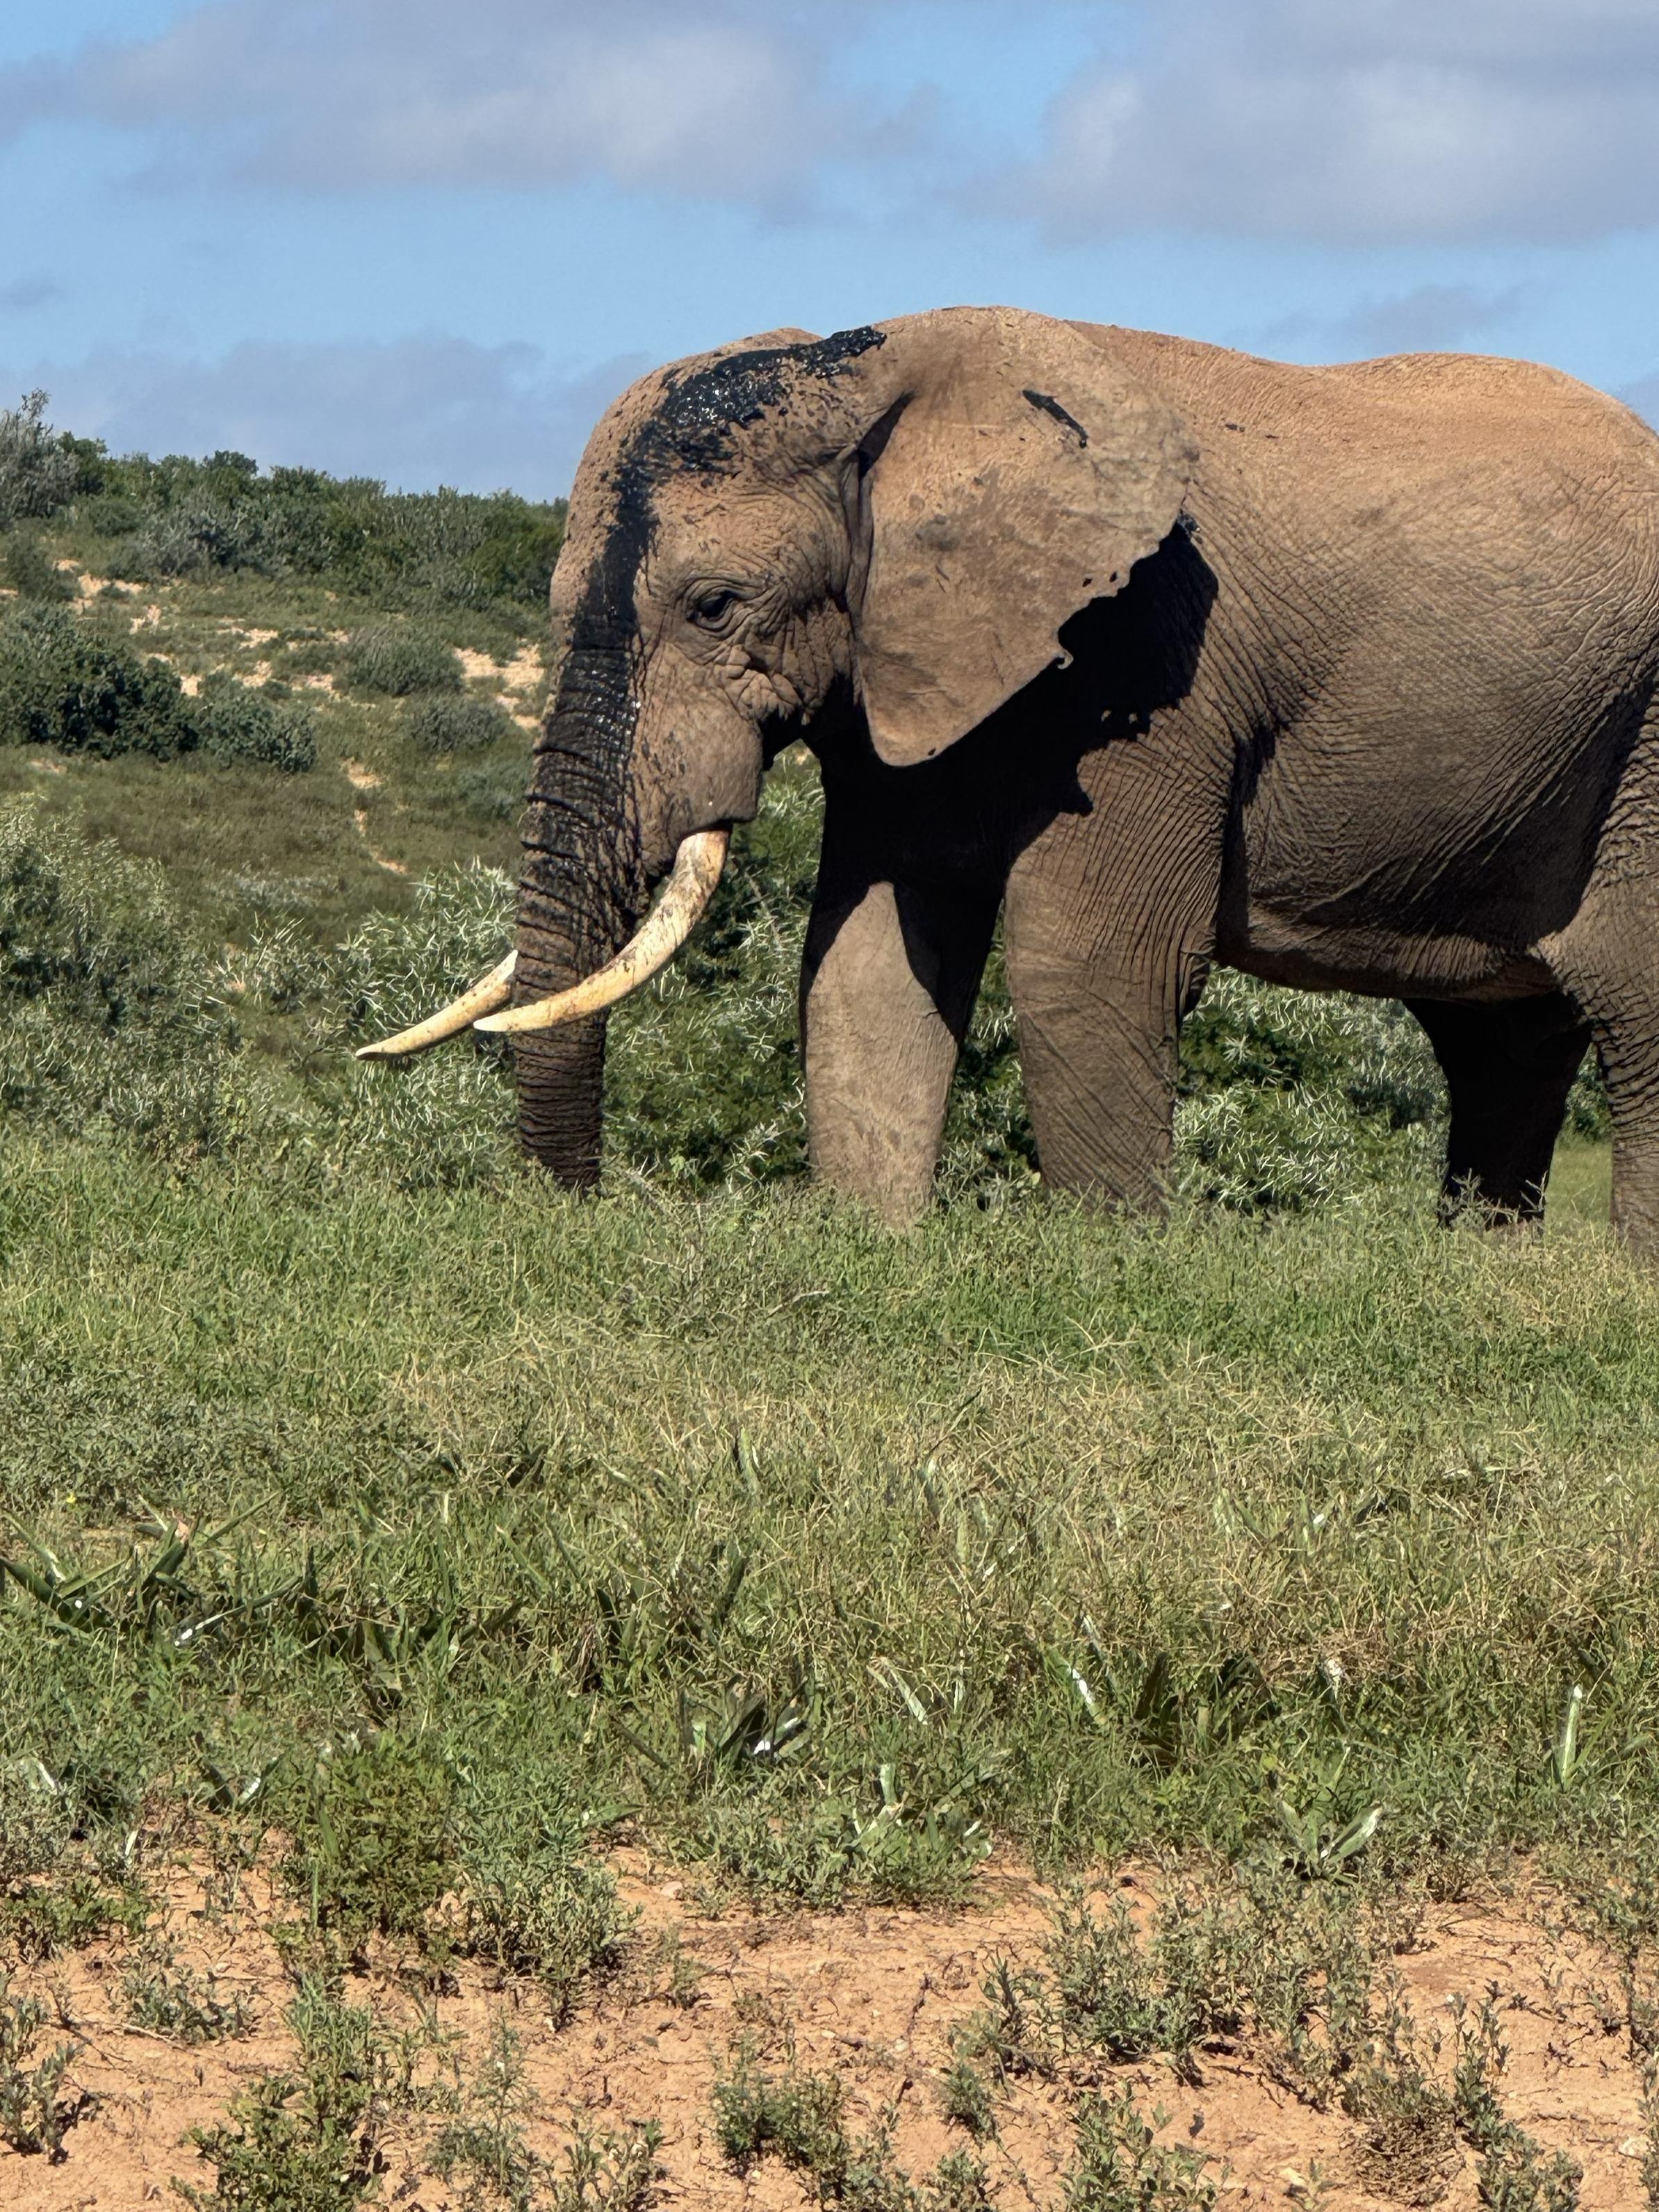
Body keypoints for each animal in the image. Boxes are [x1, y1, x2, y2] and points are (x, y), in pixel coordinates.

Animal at [363, 305, 1659, 1245]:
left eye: (715, 605)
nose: (570, 1217)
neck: (876, 370)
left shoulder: (1150, 650)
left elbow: (1083, 959)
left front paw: (1111, 1261)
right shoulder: (899, 667)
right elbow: (866, 955)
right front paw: (873, 1241)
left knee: (1628, 1009)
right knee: (1497, 1043)